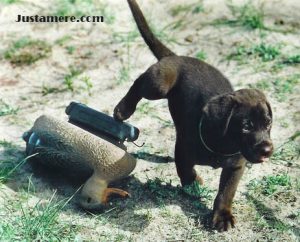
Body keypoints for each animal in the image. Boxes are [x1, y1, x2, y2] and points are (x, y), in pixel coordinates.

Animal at [113, 0, 274, 232]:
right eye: (246, 126)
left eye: (268, 124)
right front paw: (194, 184)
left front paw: (222, 216)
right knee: (139, 81)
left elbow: (226, 193)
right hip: (159, 85)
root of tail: (176, 56)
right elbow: (186, 172)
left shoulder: (235, 166)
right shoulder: (183, 150)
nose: (267, 149)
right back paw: (123, 109)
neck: (223, 144)